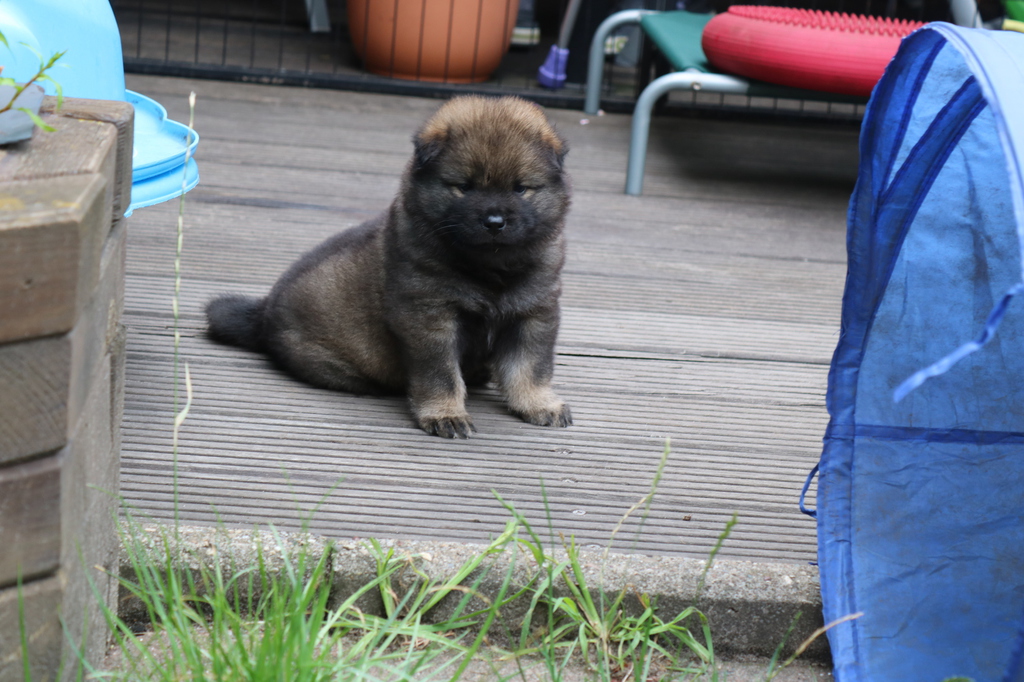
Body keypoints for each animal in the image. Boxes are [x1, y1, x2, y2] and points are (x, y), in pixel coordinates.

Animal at [205, 96, 573, 438]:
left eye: (520, 188)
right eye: (464, 187)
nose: (494, 222)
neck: (490, 267)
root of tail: (263, 312)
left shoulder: (534, 313)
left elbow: (531, 367)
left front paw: (539, 403)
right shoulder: (428, 317)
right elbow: (440, 374)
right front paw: (445, 414)